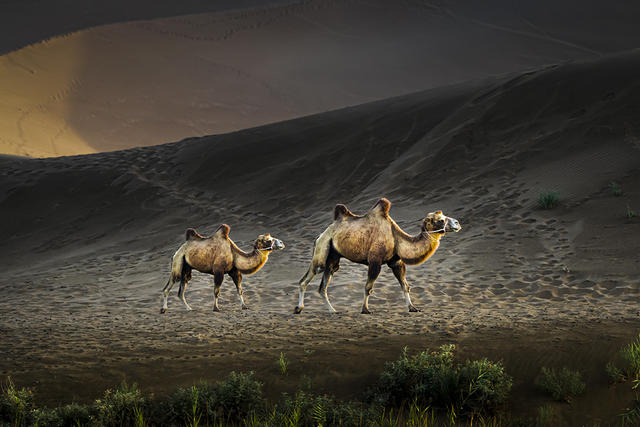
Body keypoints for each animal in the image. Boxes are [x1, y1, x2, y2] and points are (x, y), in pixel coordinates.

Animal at [296, 199, 460, 316]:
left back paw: (333, 311)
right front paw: (365, 310)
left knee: (323, 285)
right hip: (322, 249)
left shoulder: (396, 262)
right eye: (440, 220)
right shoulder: (375, 261)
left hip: (333, 257)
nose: (457, 223)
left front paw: (413, 308)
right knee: (307, 277)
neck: (396, 237)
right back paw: (298, 308)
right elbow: (368, 287)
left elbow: (405, 285)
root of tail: (320, 235)